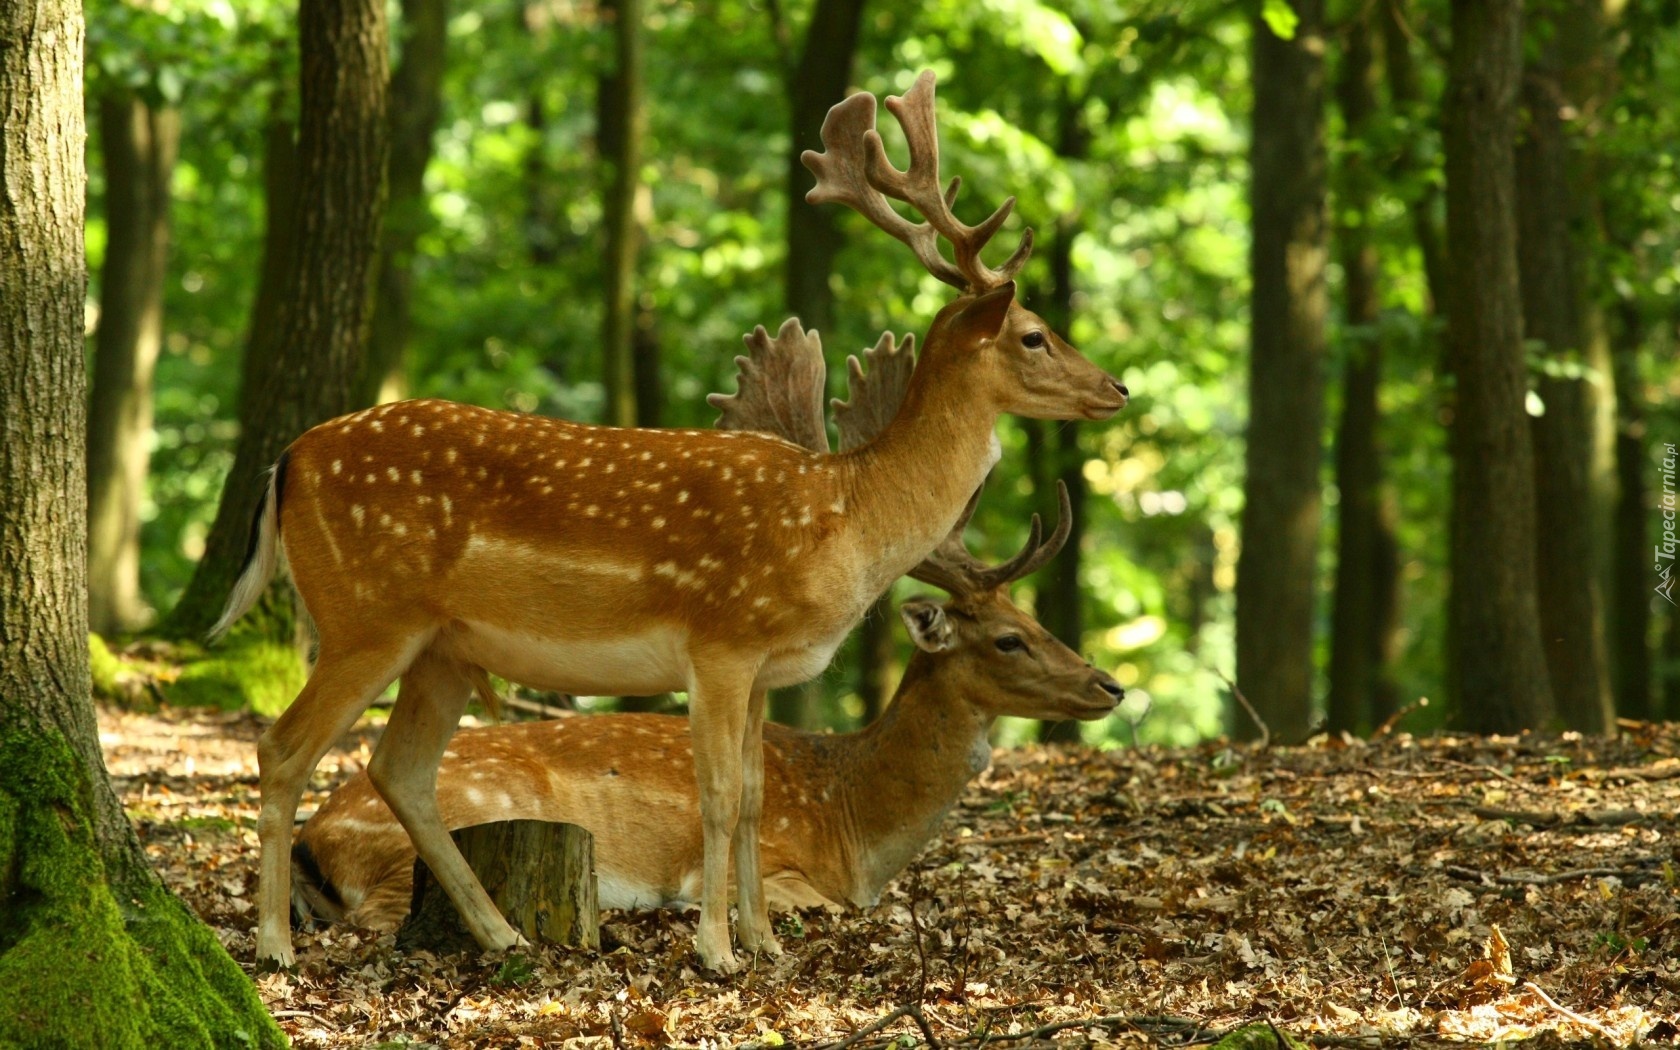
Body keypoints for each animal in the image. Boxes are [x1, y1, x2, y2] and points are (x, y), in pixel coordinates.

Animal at [213, 71, 1128, 974]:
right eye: (1035, 334)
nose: (1117, 387)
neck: (847, 522)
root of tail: (286, 459)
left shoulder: (763, 668)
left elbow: (754, 796)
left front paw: (764, 945)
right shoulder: (721, 638)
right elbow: (719, 796)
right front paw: (717, 952)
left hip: (442, 647)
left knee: (398, 769)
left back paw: (504, 934)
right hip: (366, 615)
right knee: (282, 749)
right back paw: (274, 947)